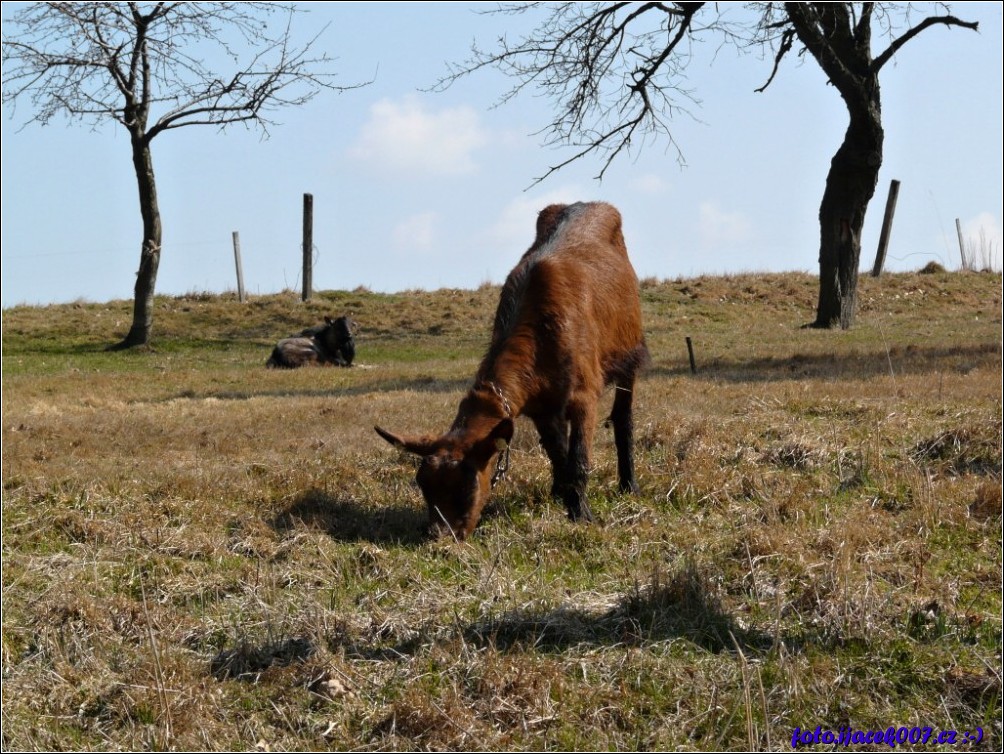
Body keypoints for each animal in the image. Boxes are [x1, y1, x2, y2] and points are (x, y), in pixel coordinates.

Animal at [373, 200, 646, 542]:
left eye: (466, 487)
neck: (543, 329)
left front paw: (582, 515)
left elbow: (579, 459)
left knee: (623, 418)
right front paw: (564, 498)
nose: (440, 536)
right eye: (423, 485)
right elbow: (558, 454)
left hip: (629, 354)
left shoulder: (584, 394)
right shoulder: (542, 408)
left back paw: (629, 484)